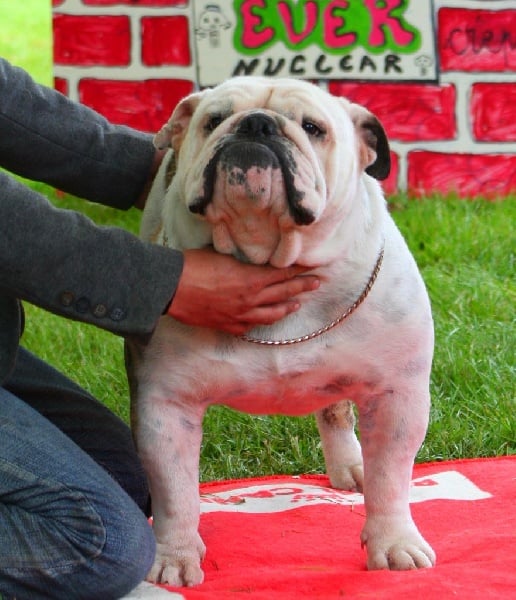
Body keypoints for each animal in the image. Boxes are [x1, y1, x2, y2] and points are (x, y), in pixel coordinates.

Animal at [126, 77, 436, 587]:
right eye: (214, 120)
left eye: (313, 128)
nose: (256, 124)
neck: (271, 253)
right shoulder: (166, 408)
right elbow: (175, 493)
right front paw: (174, 556)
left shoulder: (397, 395)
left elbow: (392, 479)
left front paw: (394, 545)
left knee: (337, 415)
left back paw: (352, 465)